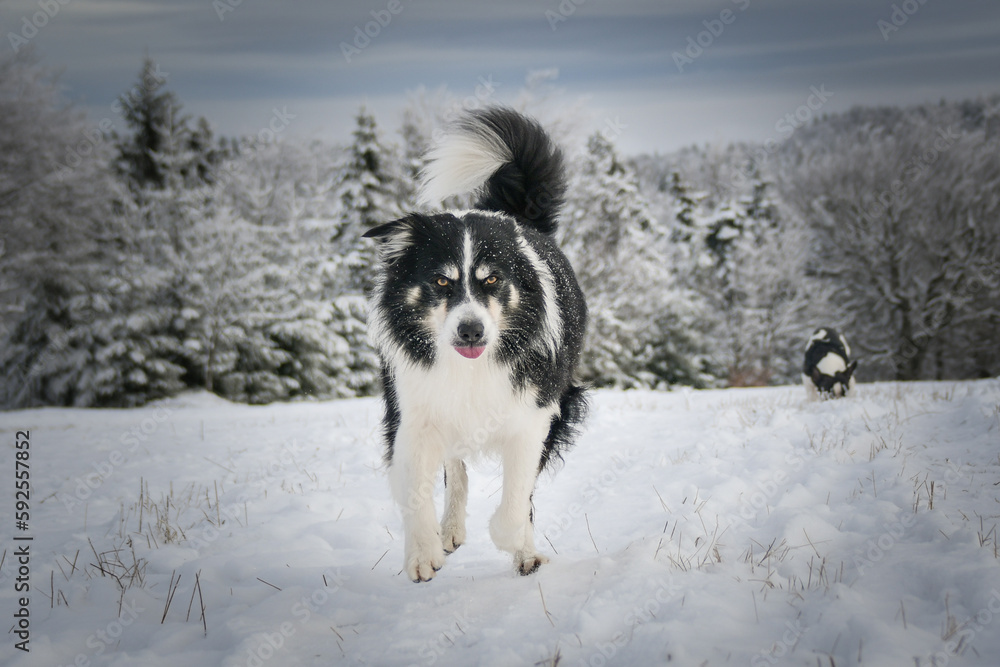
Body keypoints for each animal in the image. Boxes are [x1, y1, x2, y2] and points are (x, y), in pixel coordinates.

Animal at [366, 107, 584, 580]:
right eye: (441, 281)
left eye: (492, 280)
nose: (471, 331)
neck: (468, 366)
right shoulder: (412, 412)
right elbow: (415, 489)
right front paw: (422, 553)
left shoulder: (535, 415)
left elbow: (515, 502)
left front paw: (518, 545)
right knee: (456, 466)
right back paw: (449, 530)